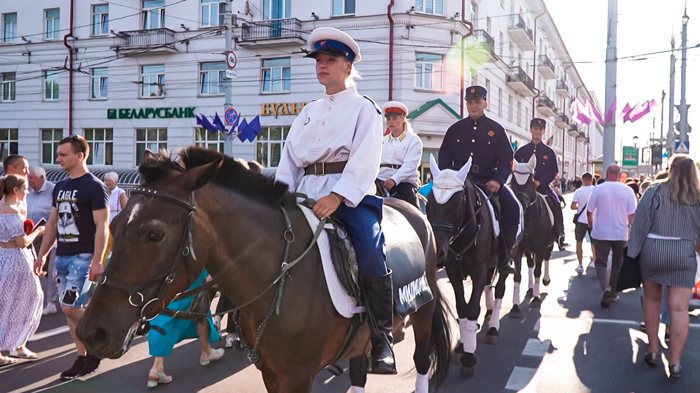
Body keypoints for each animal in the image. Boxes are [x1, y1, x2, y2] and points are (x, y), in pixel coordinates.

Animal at [75, 148, 448, 392]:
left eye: (155, 233)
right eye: (115, 224)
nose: (92, 333)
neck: (279, 276)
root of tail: (413, 210)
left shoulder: (298, 376)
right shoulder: (272, 372)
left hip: (424, 311)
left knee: (421, 359)